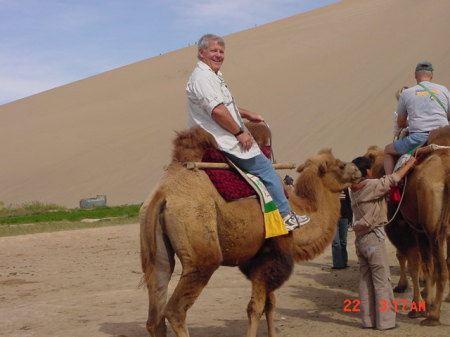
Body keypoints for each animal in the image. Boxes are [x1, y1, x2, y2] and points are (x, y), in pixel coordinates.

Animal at [139, 123, 360, 336]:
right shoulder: (273, 256)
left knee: (155, 316)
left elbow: (270, 304)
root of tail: (162, 195)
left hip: (158, 253)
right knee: (175, 311)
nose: (358, 169)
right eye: (340, 165)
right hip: (201, 252)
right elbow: (255, 307)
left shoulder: (255, 261)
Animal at [364, 124, 450, 324]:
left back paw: (433, 316)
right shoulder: (418, 230)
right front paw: (425, 300)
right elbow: (423, 265)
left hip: (433, 230)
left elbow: (414, 263)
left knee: (441, 268)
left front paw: (418, 307)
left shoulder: (404, 227)